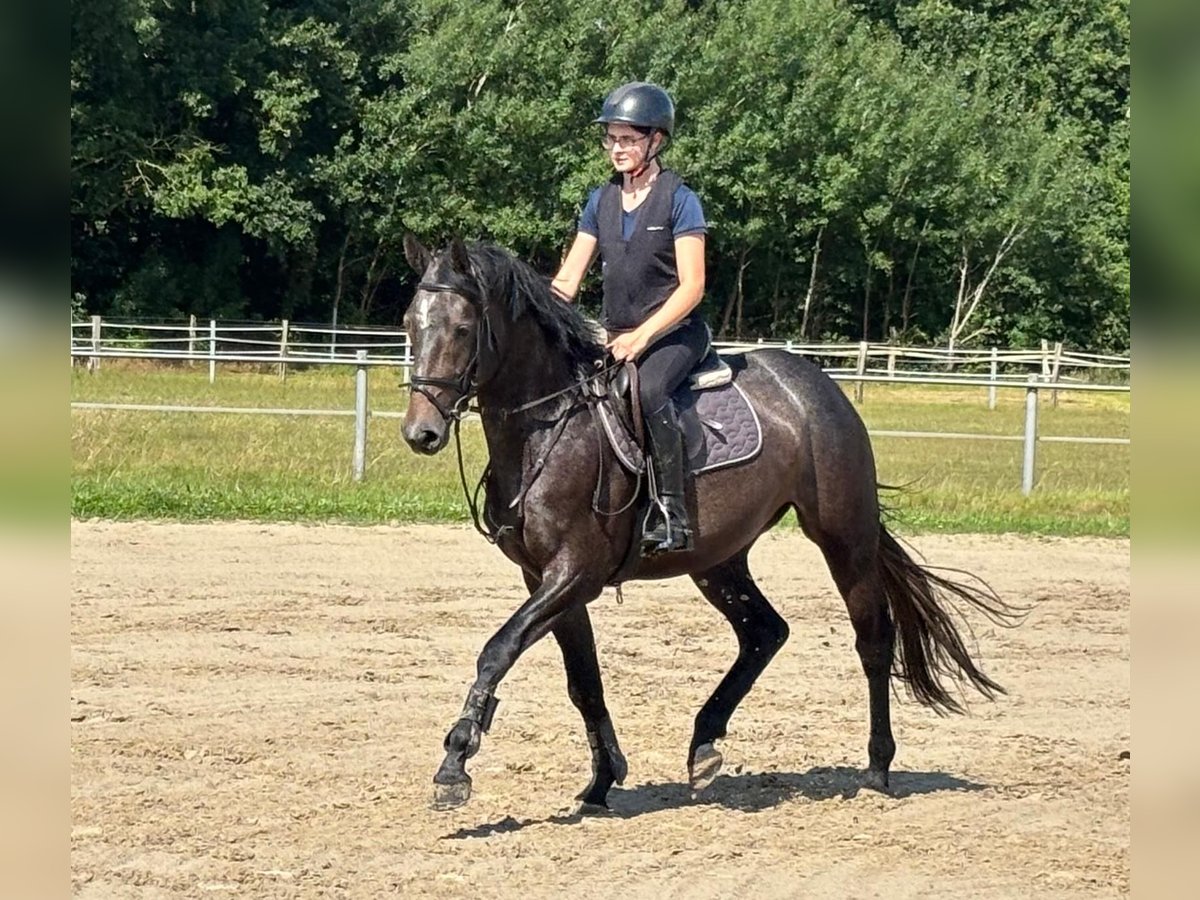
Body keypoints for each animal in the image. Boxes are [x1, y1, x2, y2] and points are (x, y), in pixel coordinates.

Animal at [399, 234, 1019, 812]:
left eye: (461, 328)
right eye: (409, 324)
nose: (420, 433)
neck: (550, 428)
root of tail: (816, 384)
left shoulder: (575, 572)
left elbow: (497, 650)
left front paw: (455, 762)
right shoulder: (546, 579)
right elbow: (584, 682)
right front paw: (602, 780)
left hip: (845, 539)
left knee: (872, 640)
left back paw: (876, 769)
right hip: (718, 559)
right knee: (765, 632)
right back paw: (704, 744)